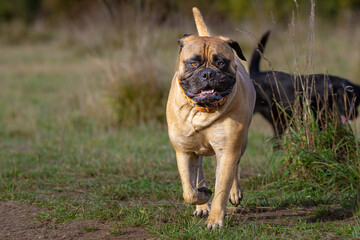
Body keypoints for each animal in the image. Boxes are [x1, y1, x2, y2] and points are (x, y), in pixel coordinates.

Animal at [167, 7, 256, 229]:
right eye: (193, 63)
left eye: (221, 62)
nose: (208, 74)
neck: (202, 110)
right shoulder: (184, 151)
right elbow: (189, 190)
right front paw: (202, 196)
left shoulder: (228, 150)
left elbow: (222, 189)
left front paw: (215, 220)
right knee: (198, 175)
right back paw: (202, 204)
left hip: (241, 144)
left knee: (235, 169)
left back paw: (234, 193)